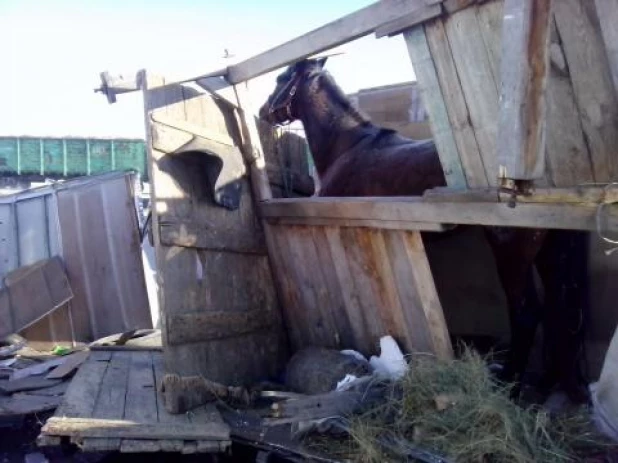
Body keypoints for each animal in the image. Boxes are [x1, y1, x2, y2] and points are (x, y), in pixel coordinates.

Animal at [256, 57, 588, 406]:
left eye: (281, 79)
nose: (264, 111)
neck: (346, 148)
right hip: (551, 253)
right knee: (558, 311)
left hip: (511, 253)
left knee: (527, 313)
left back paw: (509, 385)